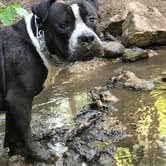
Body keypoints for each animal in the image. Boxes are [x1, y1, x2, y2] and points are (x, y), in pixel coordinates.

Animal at [0, 0, 103, 162]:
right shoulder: (19, 99)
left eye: (92, 19)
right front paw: (40, 155)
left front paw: (15, 151)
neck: (37, 42)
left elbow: (11, 131)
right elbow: (25, 131)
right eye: (63, 25)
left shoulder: (11, 105)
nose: (87, 38)